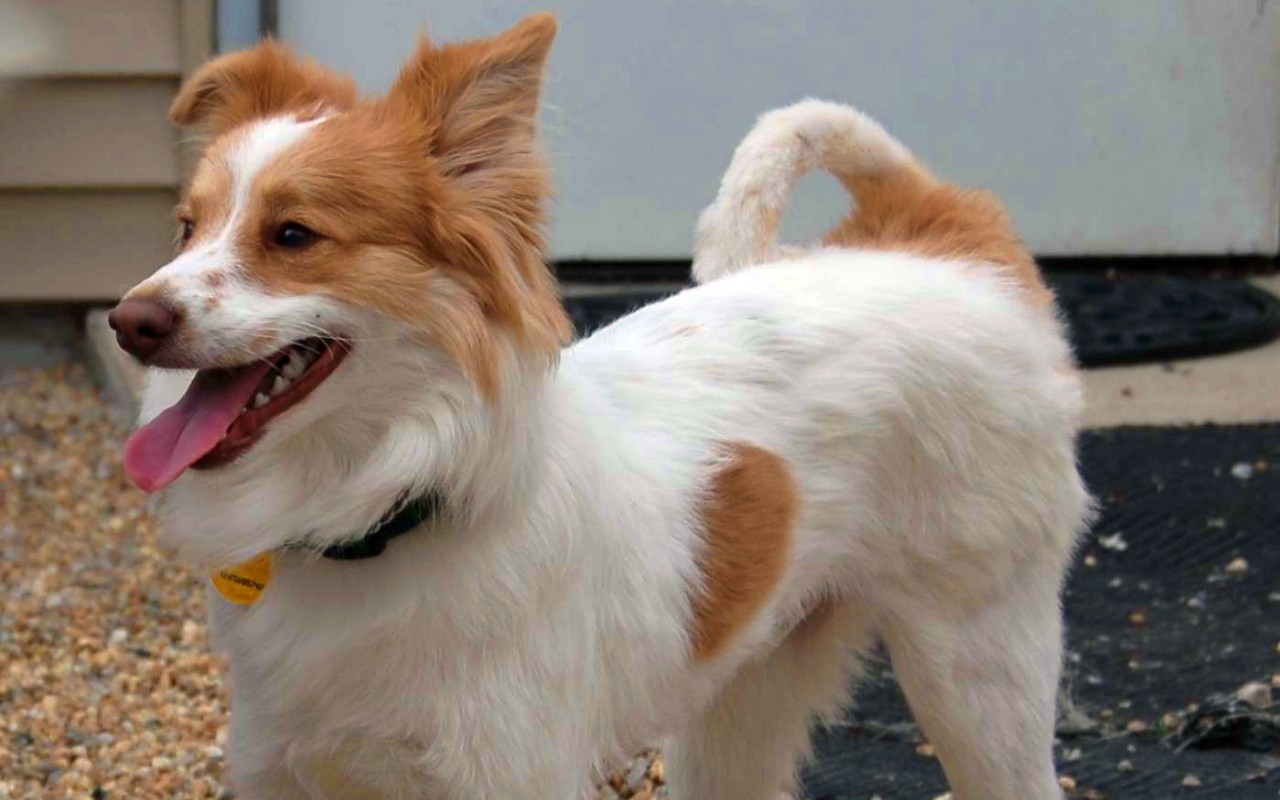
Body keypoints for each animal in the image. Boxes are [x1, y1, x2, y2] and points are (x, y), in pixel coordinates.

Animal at [112, 14, 1090, 798]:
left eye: (293, 235)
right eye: (186, 230)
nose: (131, 322)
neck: (390, 503)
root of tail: (938, 237)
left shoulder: (510, 774)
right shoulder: (279, 768)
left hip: (979, 674)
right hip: (744, 701)